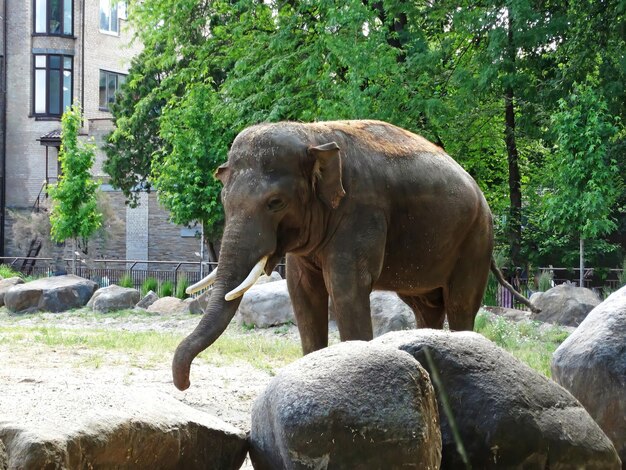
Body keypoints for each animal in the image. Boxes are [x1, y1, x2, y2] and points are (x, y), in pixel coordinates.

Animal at [172, 119, 532, 392]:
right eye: (224, 201)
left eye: (275, 203)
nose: (185, 384)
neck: (313, 135)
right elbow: (302, 293)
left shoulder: (362, 211)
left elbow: (345, 288)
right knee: (426, 305)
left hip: (476, 239)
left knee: (460, 304)